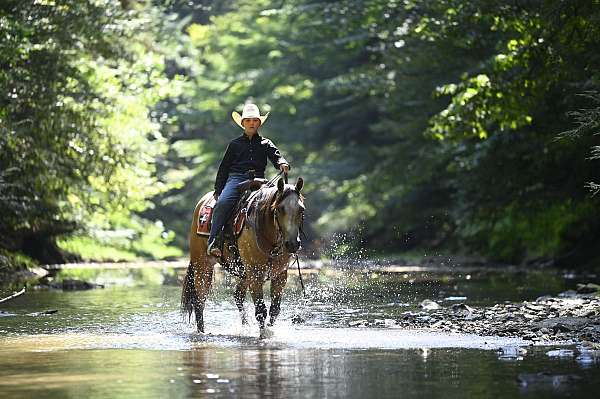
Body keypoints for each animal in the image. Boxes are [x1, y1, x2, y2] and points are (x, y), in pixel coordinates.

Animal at [180, 177, 304, 338]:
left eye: (301, 209)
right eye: (280, 208)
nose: (293, 244)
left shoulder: (280, 275)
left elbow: (275, 310)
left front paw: (269, 329)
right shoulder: (255, 275)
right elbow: (261, 310)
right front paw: (263, 334)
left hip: (244, 273)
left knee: (237, 295)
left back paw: (245, 326)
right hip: (202, 266)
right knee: (200, 301)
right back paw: (202, 331)